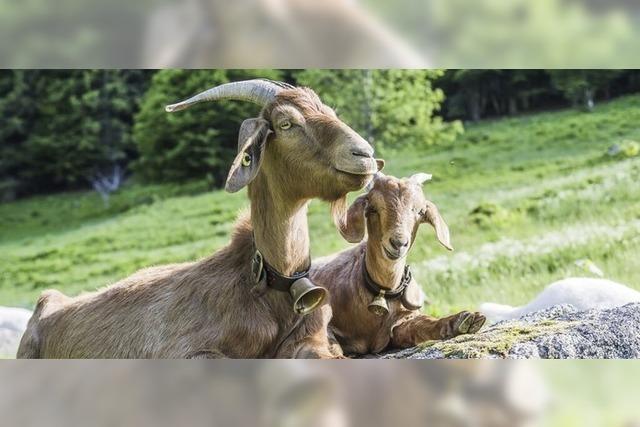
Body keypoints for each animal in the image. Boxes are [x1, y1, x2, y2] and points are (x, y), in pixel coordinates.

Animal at [17, 79, 380, 358]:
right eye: (286, 123)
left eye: (330, 112)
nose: (364, 154)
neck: (267, 284)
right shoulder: (181, 350)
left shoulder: (311, 338)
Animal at [310, 172, 484, 356]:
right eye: (373, 208)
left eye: (420, 212)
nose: (398, 243)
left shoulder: (400, 321)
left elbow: (421, 325)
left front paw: (464, 320)